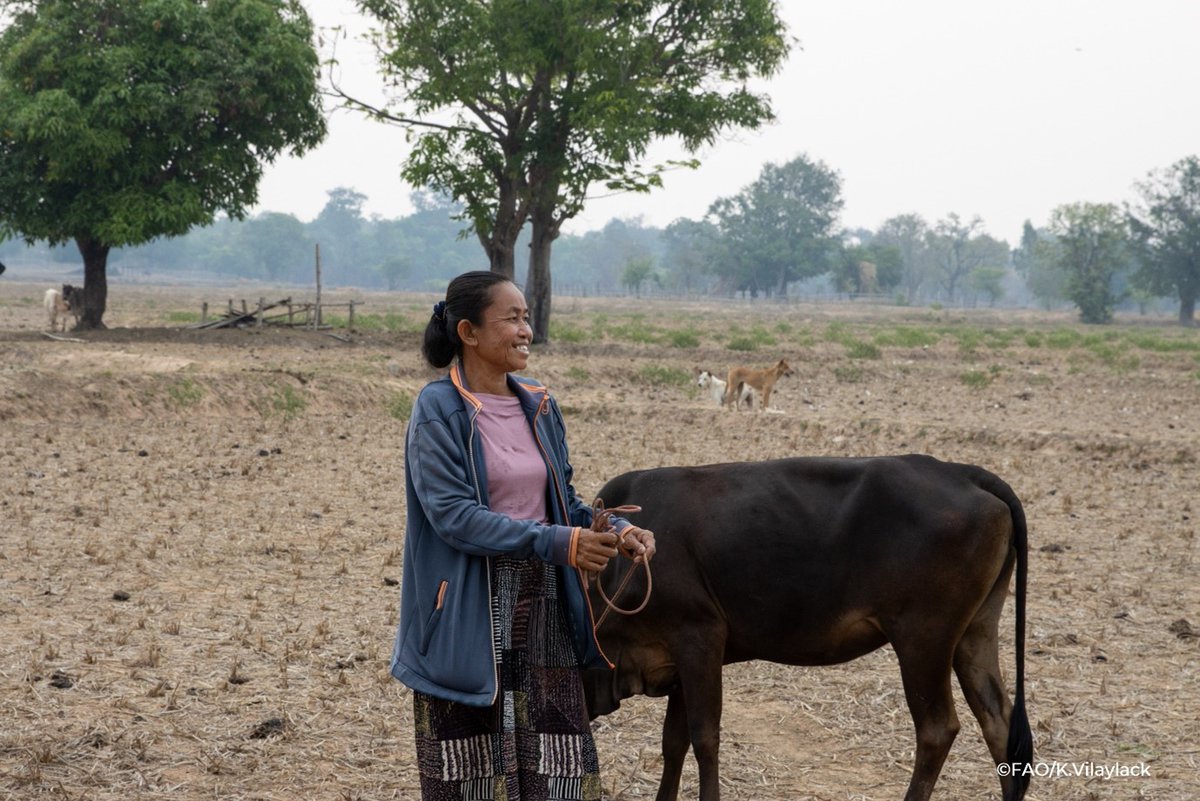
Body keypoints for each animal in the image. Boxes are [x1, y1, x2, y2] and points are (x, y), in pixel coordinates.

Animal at [583, 455, 1032, 801]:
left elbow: (704, 738)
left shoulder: (699, 637)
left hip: (923, 640)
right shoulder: (678, 659)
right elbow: (673, 742)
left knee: (938, 730)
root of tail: (957, 470)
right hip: (975, 633)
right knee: (999, 723)